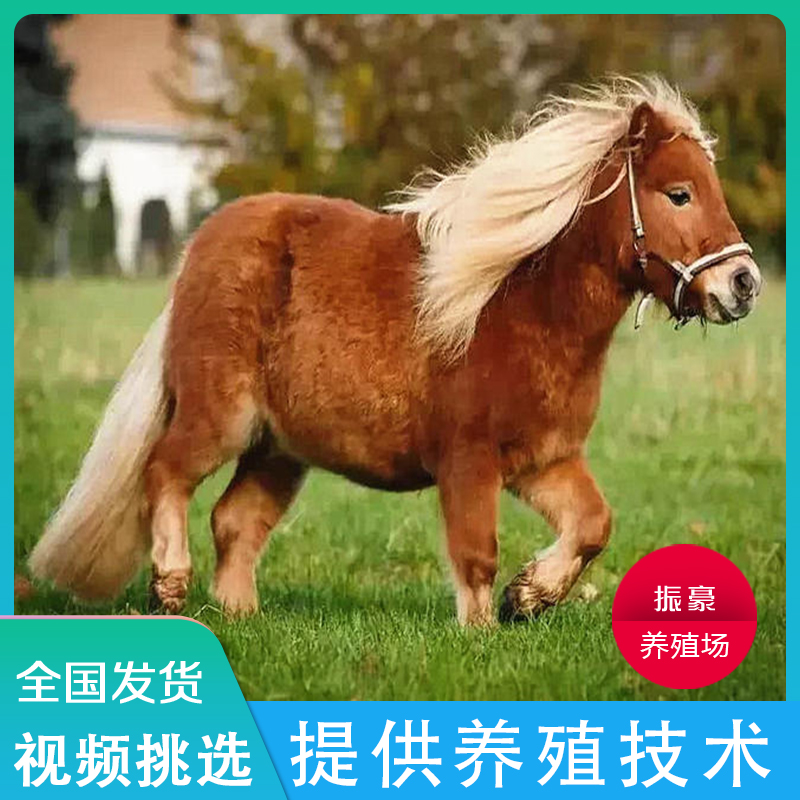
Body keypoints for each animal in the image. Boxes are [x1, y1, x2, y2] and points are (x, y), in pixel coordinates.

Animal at [30, 77, 762, 625]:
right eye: (678, 193)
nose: (744, 283)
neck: (516, 303)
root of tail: (200, 249)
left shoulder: (545, 461)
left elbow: (593, 525)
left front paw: (529, 596)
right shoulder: (468, 462)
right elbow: (476, 555)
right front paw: (484, 631)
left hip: (279, 449)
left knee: (235, 521)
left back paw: (240, 615)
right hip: (222, 418)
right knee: (165, 472)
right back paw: (170, 583)